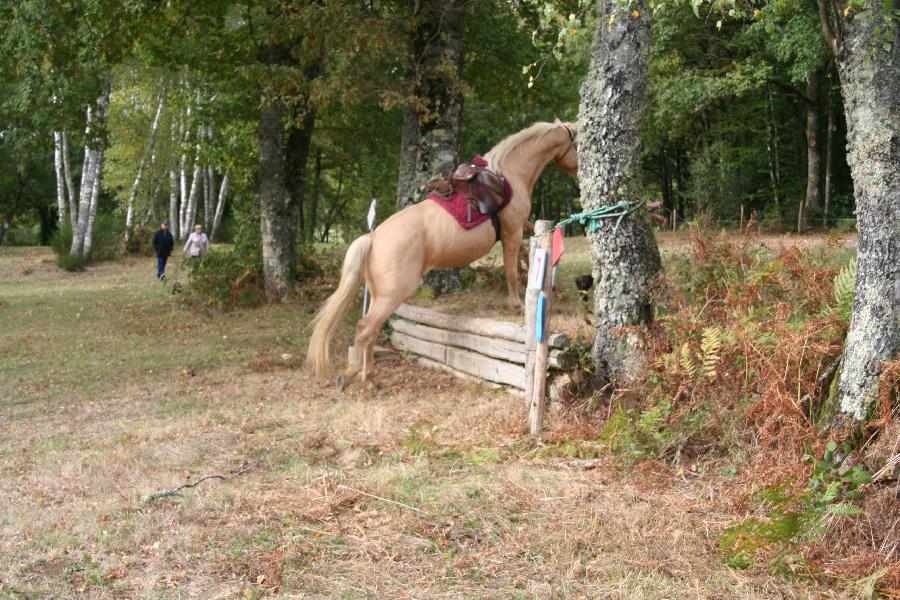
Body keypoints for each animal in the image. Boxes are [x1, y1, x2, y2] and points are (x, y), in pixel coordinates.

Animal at [308, 120, 576, 390]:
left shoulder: (524, 227)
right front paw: (516, 304)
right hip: (391, 296)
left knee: (370, 332)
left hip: (377, 295)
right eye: (577, 144)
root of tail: (373, 239)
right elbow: (511, 270)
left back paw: (371, 379)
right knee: (364, 329)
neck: (509, 174)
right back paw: (351, 376)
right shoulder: (512, 232)